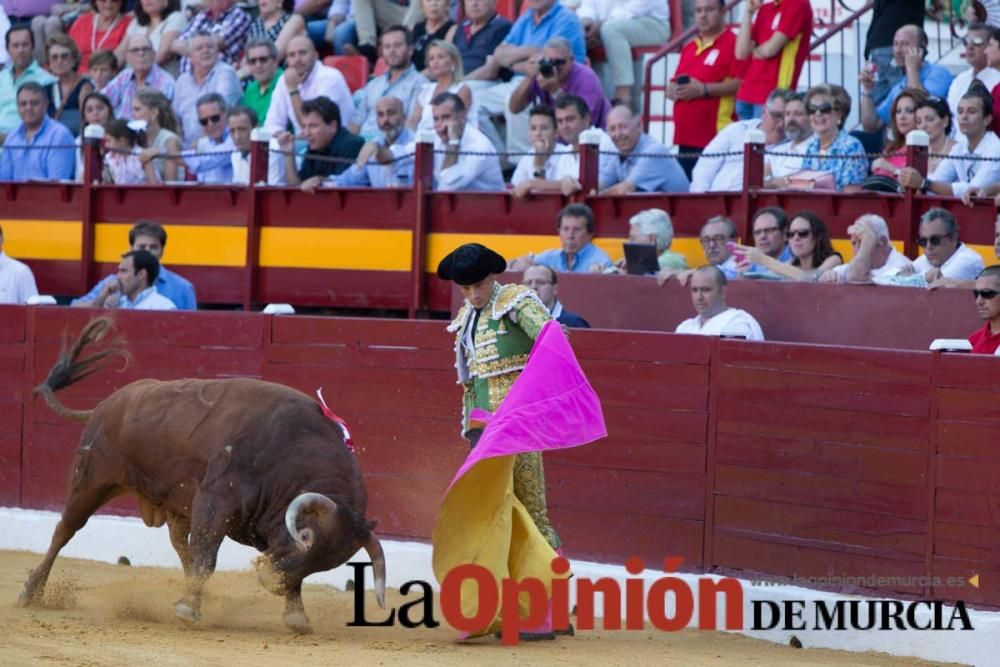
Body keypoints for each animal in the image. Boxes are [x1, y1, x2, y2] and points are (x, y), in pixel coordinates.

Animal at [20, 318, 386, 636]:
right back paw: (31, 592)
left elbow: (215, 558)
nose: (269, 581)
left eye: (328, 563)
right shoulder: (216, 499)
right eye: (306, 535)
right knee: (65, 529)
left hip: (174, 505)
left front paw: (296, 617)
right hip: (93, 479)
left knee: (181, 548)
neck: (291, 452)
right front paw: (188, 611)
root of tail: (104, 405)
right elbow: (207, 555)